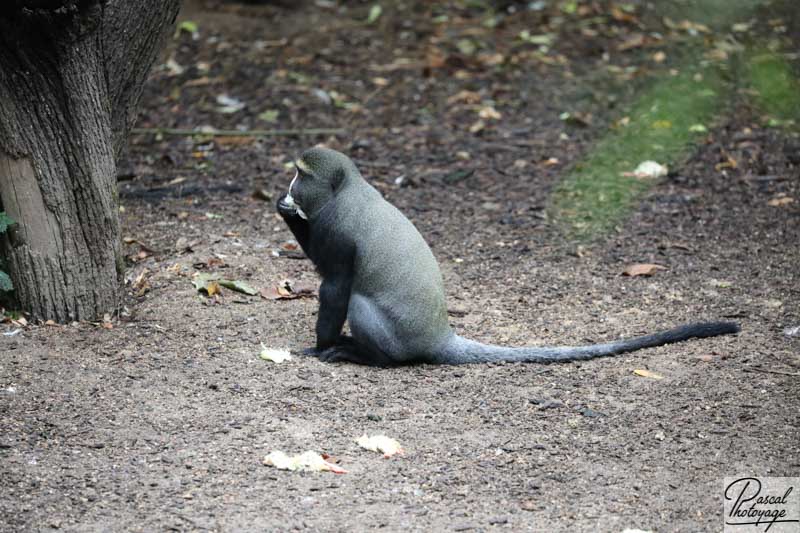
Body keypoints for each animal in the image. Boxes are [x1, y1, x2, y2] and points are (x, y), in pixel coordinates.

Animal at [278, 147, 740, 366]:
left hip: (397, 339)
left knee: (359, 303)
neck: (347, 190)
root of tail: (440, 336)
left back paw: (367, 356)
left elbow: (334, 286)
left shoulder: (337, 231)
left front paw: (320, 347)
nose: (288, 187)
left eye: (301, 173)